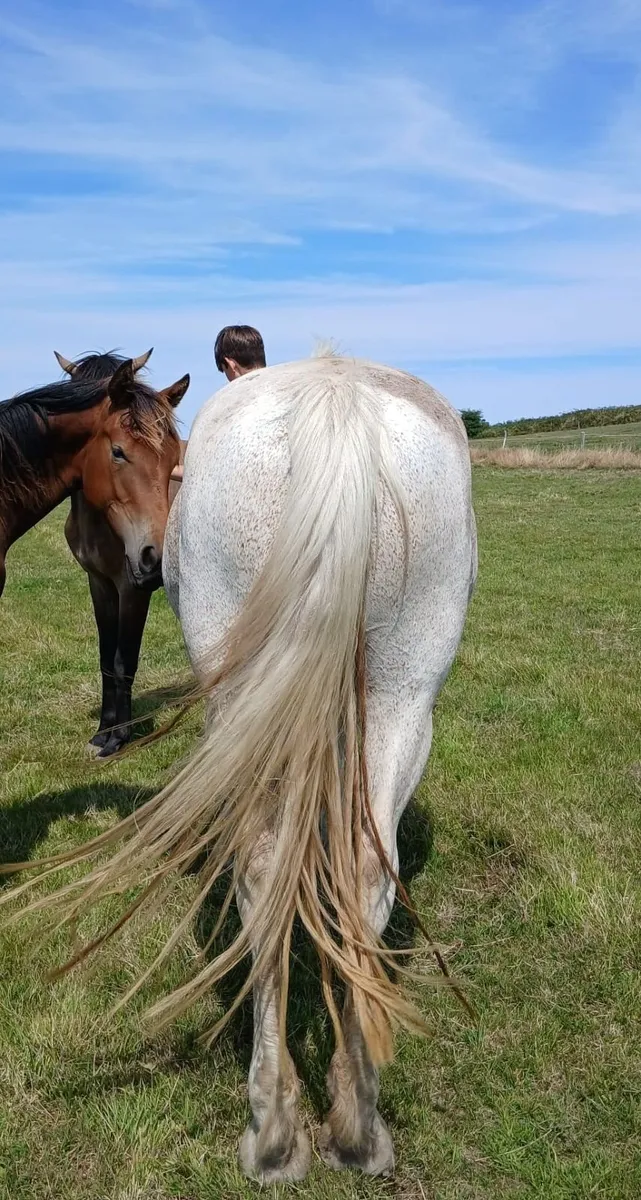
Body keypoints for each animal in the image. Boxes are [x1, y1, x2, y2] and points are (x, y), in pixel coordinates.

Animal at [0, 351, 189, 753]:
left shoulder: (132, 588)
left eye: (171, 458)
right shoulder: (99, 583)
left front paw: (120, 737)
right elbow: (105, 656)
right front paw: (103, 731)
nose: (155, 557)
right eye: (118, 451)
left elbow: (124, 659)